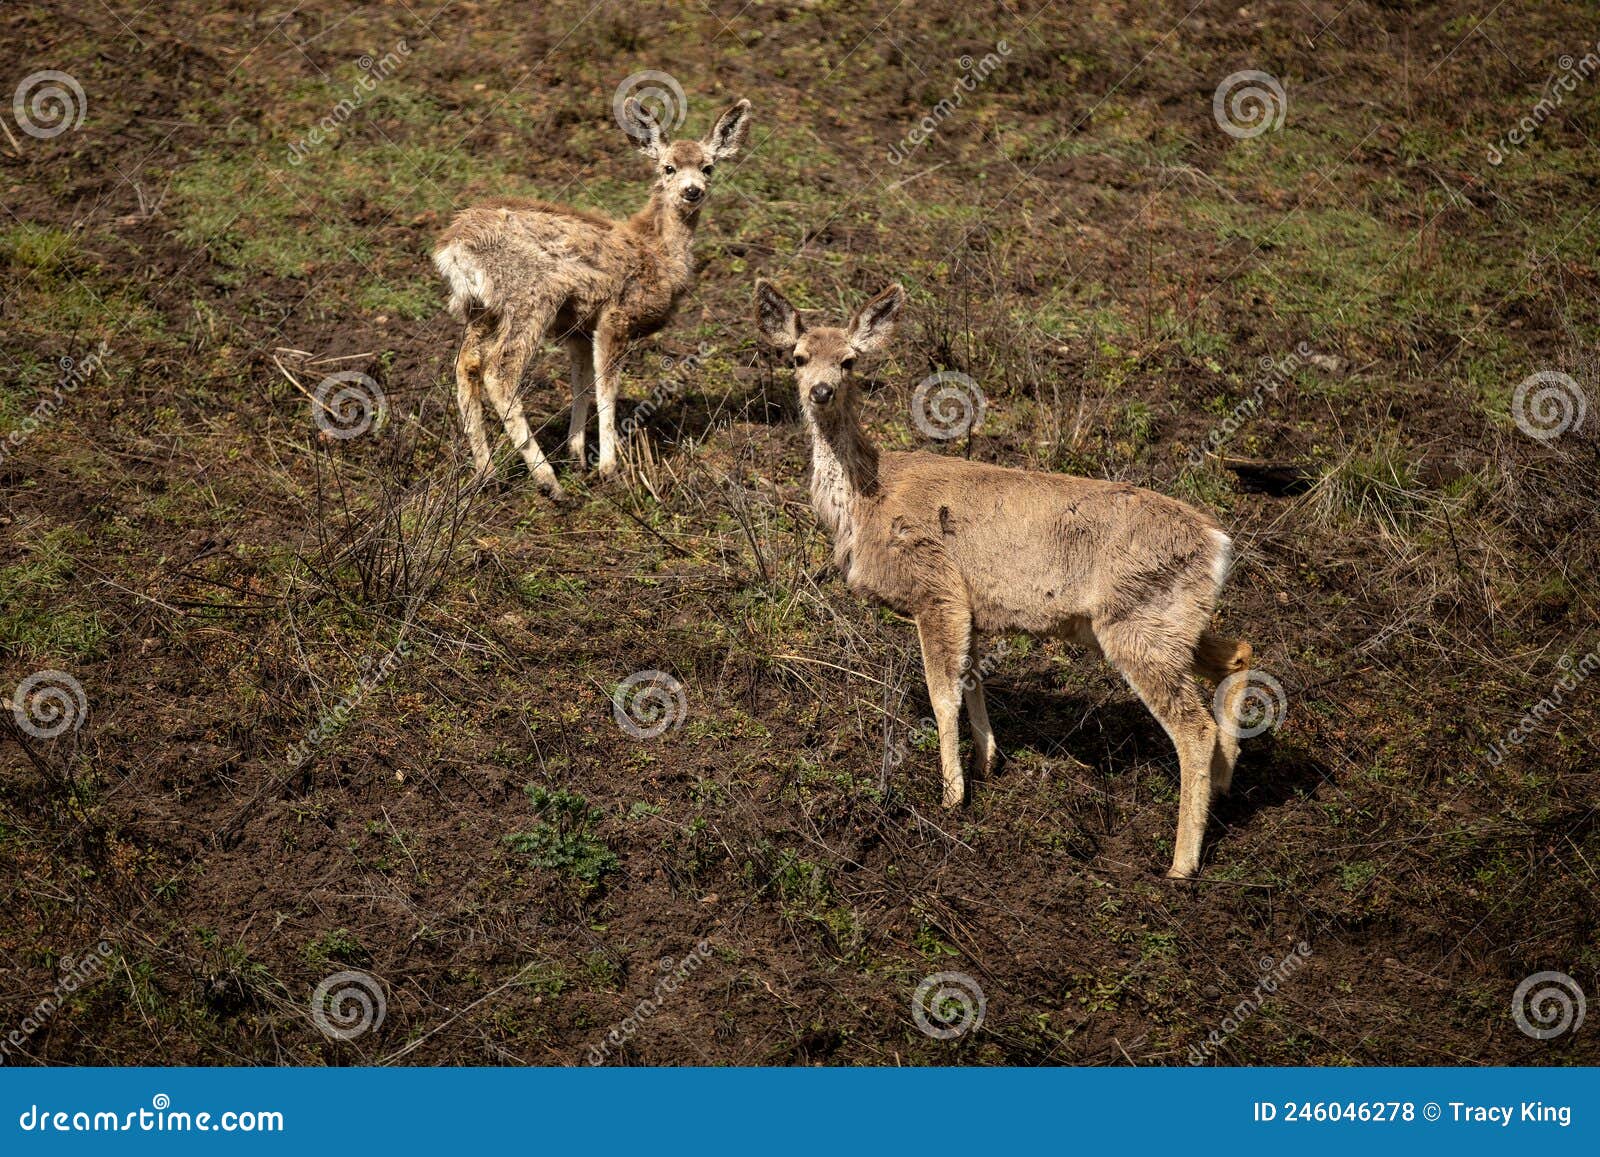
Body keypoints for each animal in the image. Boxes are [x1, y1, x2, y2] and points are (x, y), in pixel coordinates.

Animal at [433, 97, 752, 500]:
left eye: (708, 167)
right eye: (668, 167)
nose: (692, 191)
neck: (658, 252)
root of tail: (453, 244)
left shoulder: (580, 328)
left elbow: (582, 384)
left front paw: (578, 455)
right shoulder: (616, 315)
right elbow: (607, 389)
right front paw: (608, 467)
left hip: (479, 308)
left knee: (466, 363)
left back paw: (486, 471)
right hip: (532, 293)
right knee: (499, 369)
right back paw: (548, 481)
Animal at [754, 279, 1256, 878]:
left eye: (850, 360)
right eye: (798, 357)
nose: (822, 391)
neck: (865, 501)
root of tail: (1218, 544)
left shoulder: (937, 588)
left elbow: (942, 693)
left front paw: (952, 795)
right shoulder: (971, 606)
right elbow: (972, 679)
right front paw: (988, 762)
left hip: (1138, 623)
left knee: (1194, 729)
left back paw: (1181, 863)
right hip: (1170, 621)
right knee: (1240, 652)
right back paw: (1225, 788)